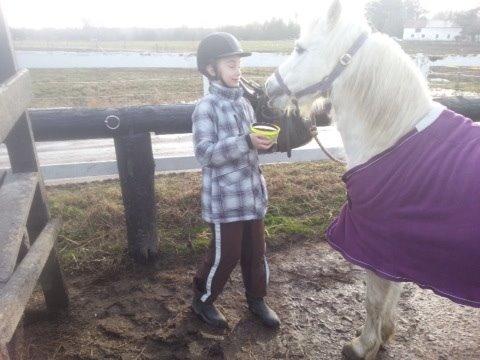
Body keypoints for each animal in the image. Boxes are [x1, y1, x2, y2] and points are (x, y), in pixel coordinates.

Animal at [266, 0, 480, 360]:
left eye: (300, 48)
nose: (266, 88)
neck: (392, 139)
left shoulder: (376, 244)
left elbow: (374, 299)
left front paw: (362, 345)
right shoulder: (396, 247)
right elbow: (394, 291)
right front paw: (386, 334)